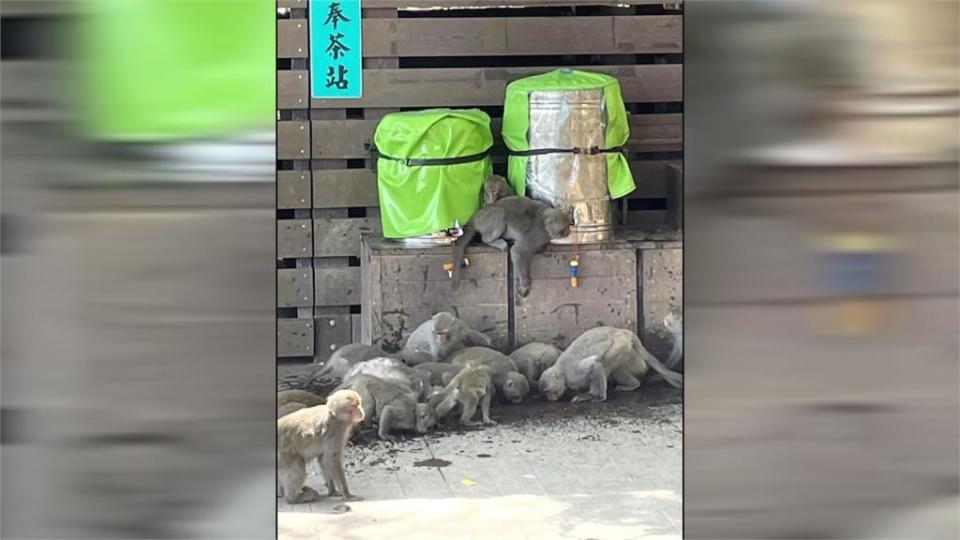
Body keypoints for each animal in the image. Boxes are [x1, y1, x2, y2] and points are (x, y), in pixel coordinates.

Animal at [540, 326, 684, 402]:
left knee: (606, 363)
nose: (549, 397)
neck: (561, 373)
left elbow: (595, 365)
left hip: (621, 343)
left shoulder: (572, 375)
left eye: (548, 391)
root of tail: (622, 331)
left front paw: (597, 396)